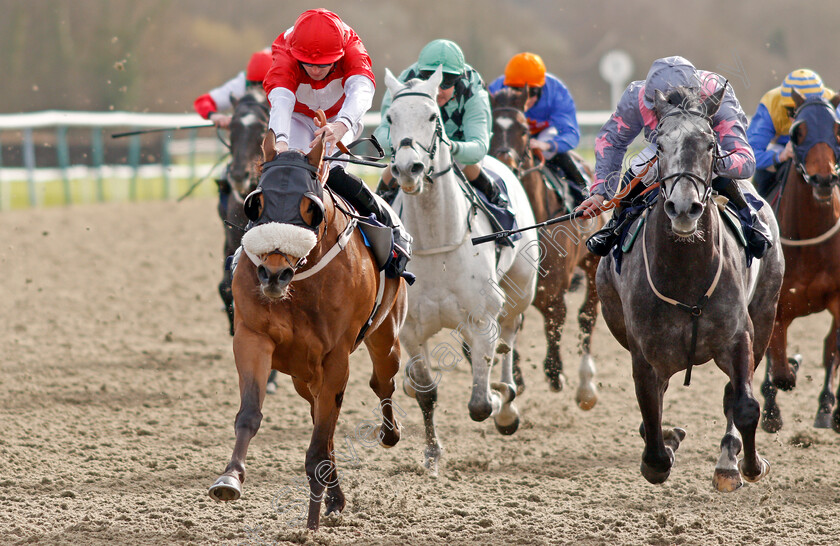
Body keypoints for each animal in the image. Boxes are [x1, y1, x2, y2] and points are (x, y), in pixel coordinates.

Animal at [208, 123, 408, 528]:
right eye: (256, 203)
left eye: (309, 208)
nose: (273, 273)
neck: (300, 285)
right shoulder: (253, 338)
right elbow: (250, 415)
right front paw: (229, 478)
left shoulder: (336, 357)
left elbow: (319, 442)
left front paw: (312, 523)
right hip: (304, 376)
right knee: (322, 418)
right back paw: (335, 496)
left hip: (385, 338)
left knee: (382, 381)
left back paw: (389, 435)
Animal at [382, 67, 536, 472]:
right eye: (390, 118)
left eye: (432, 117)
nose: (408, 168)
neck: (438, 243)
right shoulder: (412, 329)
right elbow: (426, 392)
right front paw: (432, 453)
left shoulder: (481, 318)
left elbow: (480, 404)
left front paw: (497, 401)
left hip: (519, 290)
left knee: (509, 335)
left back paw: (506, 400)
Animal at [492, 86, 604, 408]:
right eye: (491, 127)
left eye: (524, 131)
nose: (506, 164)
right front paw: (515, 378)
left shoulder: (553, 290)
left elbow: (556, 321)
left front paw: (555, 373)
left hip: (592, 263)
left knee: (587, 316)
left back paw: (585, 387)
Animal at [596, 87, 780, 490]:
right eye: (660, 145)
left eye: (711, 143)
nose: (683, 207)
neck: (686, 276)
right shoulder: (644, 352)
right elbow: (650, 412)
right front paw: (662, 449)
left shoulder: (740, 335)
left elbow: (745, 405)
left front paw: (749, 465)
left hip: (766, 313)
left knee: (731, 395)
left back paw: (728, 459)